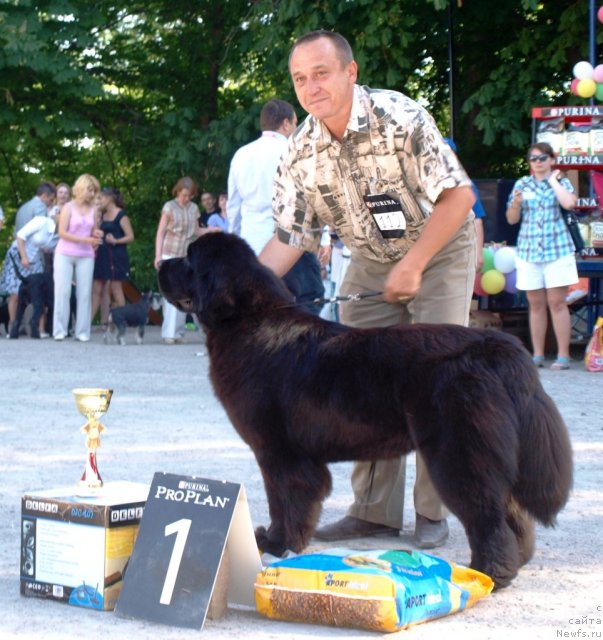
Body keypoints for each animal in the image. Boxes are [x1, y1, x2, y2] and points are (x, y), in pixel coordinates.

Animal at [158, 232, 572, 588]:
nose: (160, 262)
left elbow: (284, 500)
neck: (248, 320)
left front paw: (275, 542)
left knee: (488, 514)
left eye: (189, 260)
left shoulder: (278, 452)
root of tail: (499, 346)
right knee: (513, 510)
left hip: (458, 452)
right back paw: (514, 561)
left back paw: (489, 574)